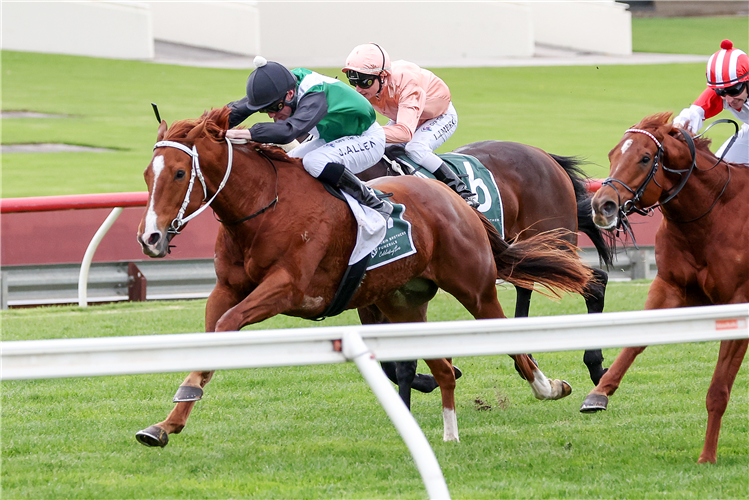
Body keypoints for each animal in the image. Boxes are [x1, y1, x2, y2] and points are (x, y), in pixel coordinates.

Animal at [360, 140, 612, 406]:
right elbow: (389, 362)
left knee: (595, 282)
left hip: (554, 241)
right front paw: (427, 381)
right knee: (527, 285)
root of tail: (545, 155)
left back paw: (596, 369)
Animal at [580, 111, 744, 462]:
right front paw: (598, 393)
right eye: (612, 154)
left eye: (645, 158)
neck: (711, 218)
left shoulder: (739, 303)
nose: (601, 205)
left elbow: (719, 389)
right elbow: (635, 342)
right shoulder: (670, 286)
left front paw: (707, 456)